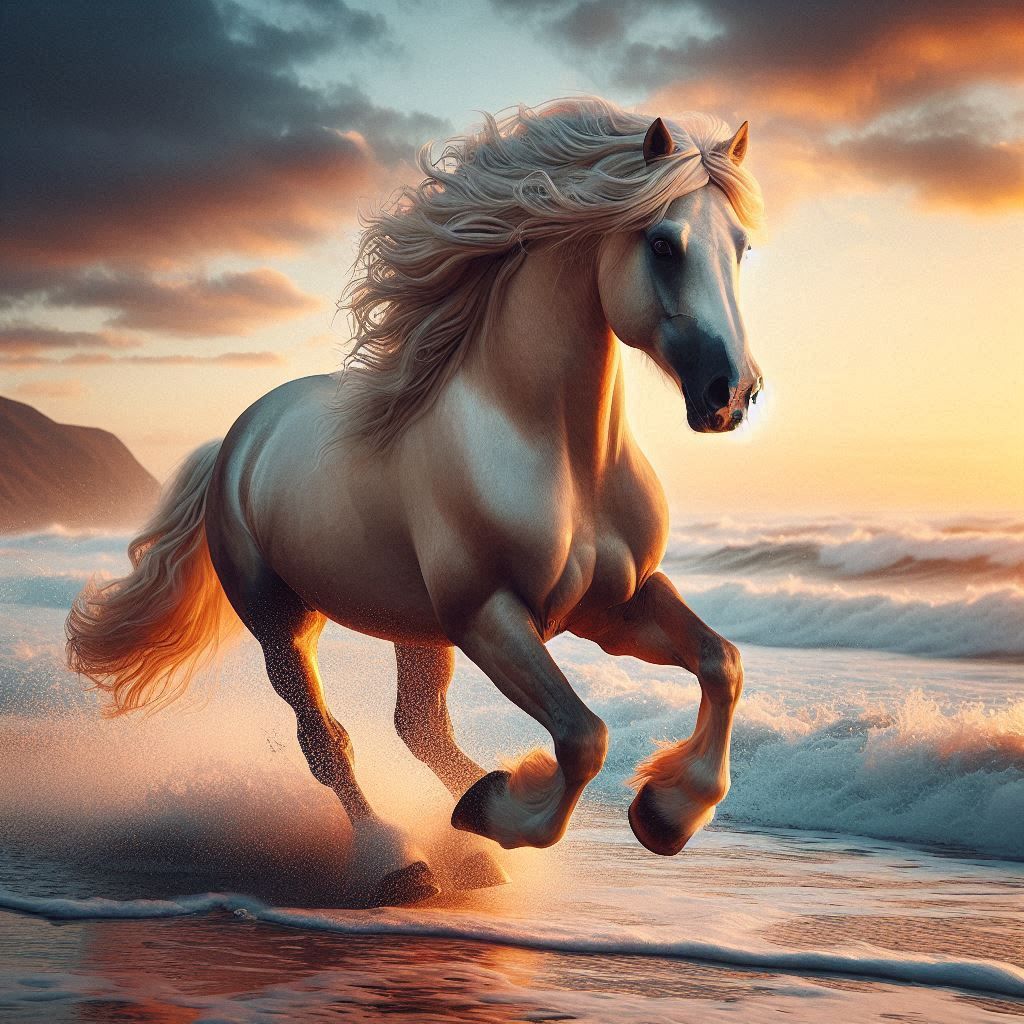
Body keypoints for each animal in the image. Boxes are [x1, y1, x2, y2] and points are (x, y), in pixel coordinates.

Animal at [66, 97, 765, 906]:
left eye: (741, 247)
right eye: (662, 244)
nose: (731, 394)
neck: (559, 456)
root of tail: (239, 440)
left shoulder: (613, 606)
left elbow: (721, 662)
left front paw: (664, 813)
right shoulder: (490, 615)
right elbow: (583, 737)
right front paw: (511, 807)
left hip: (417, 628)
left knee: (419, 726)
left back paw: (470, 842)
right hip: (282, 621)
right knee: (326, 740)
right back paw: (403, 860)